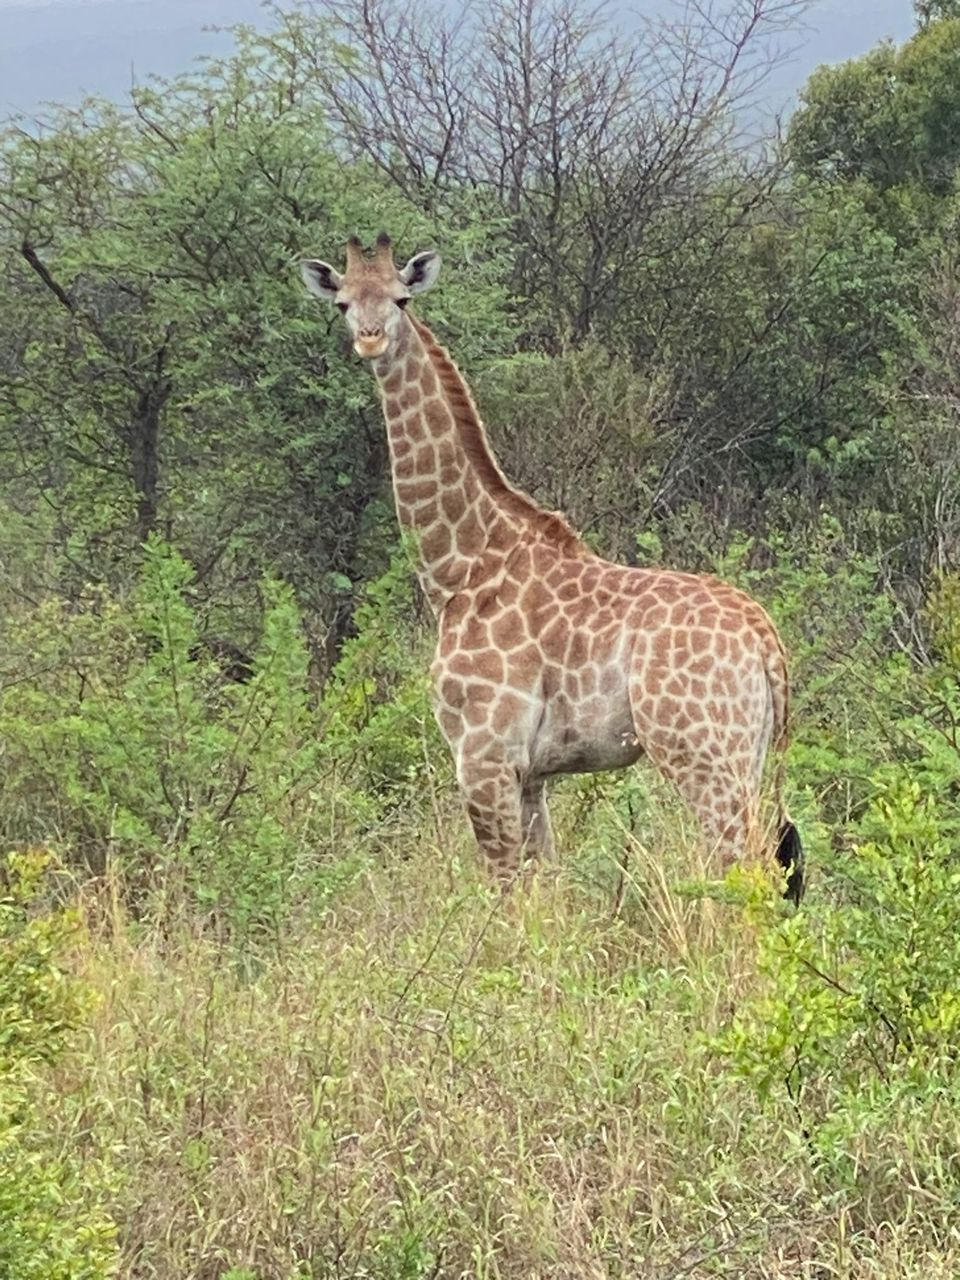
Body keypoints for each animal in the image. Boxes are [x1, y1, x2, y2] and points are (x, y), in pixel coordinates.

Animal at [300, 233, 804, 904]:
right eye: (344, 304)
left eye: (402, 298)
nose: (372, 338)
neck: (460, 568)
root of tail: (765, 638)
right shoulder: (531, 771)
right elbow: (544, 882)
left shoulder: (483, 755)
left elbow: (504, 889)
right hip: (750, 756)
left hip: (701, 753)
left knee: (742, 869)